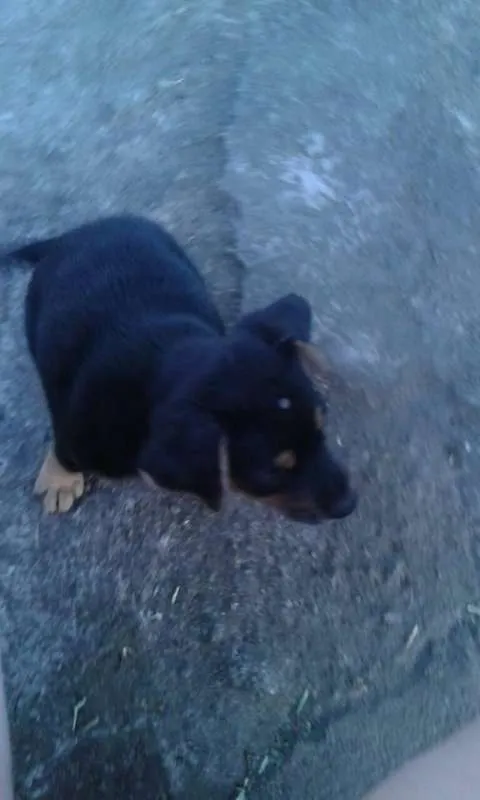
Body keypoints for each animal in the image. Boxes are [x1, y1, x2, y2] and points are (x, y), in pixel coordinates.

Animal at [7, 214, 357, 523]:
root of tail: (75, 233)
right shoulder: (78, 433)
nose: (349, 505)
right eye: (271, 471)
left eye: (322, 428)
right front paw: (59, 481)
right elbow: (64, 451)